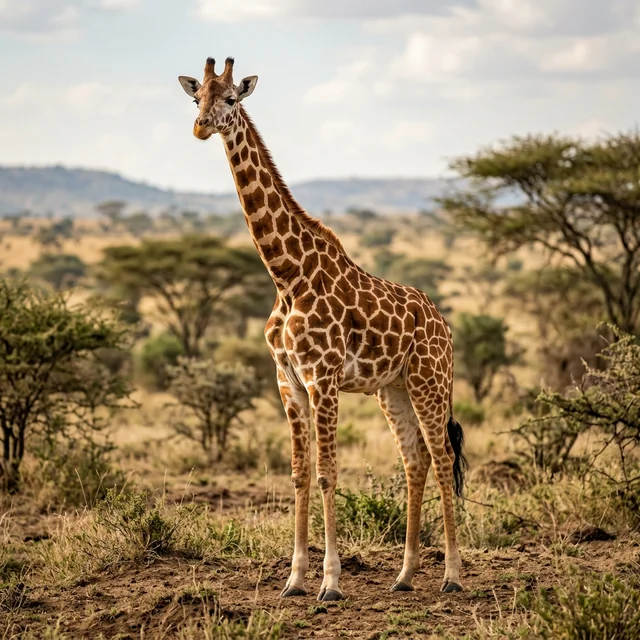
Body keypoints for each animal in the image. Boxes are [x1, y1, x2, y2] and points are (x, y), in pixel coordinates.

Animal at [178, 57, 468, 601]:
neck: (287, 276)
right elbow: (299, 474)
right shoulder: (287, 379)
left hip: (430, 381)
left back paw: (453, 575)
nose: (201, 127)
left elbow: (330, 473)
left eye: (232, 98)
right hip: (392, 389)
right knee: (415, 460)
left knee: (442, 458)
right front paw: (294, 579)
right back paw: (404, 575)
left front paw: (331, 583)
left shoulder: (323, 378)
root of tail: (443, 324)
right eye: (195, 97)